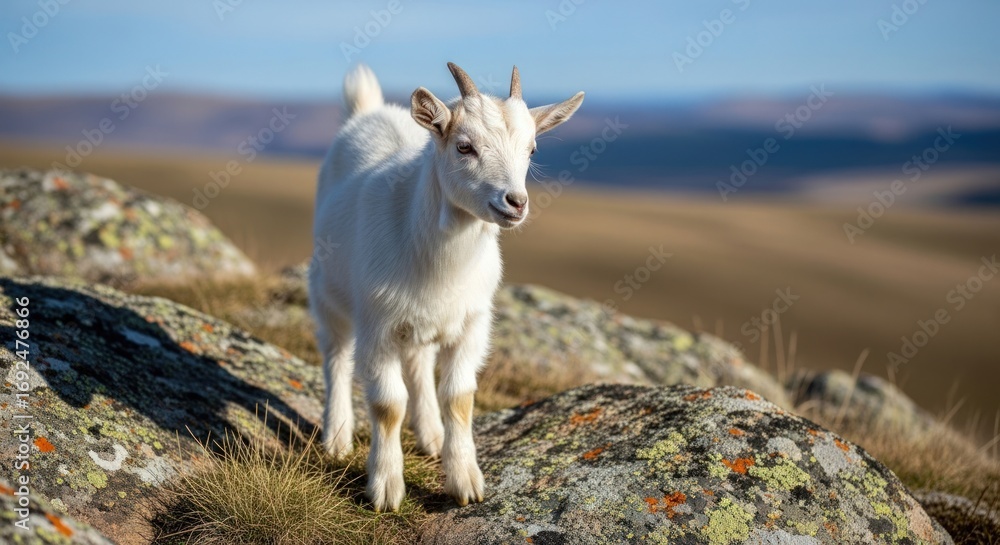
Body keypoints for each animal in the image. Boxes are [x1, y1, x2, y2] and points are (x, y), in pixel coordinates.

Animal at [309, 62, 584, 511]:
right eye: (464, 147)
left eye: (532, 150)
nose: (515, 202)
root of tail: (367, 110)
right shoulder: (378, 328)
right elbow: (387, 405)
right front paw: (386, 489)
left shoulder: (471, 324)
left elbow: (459, 397)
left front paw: (465, 482)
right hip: (327, 293)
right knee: (336, 356)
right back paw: (336, 437)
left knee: (419, 364)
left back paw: (432, 436)